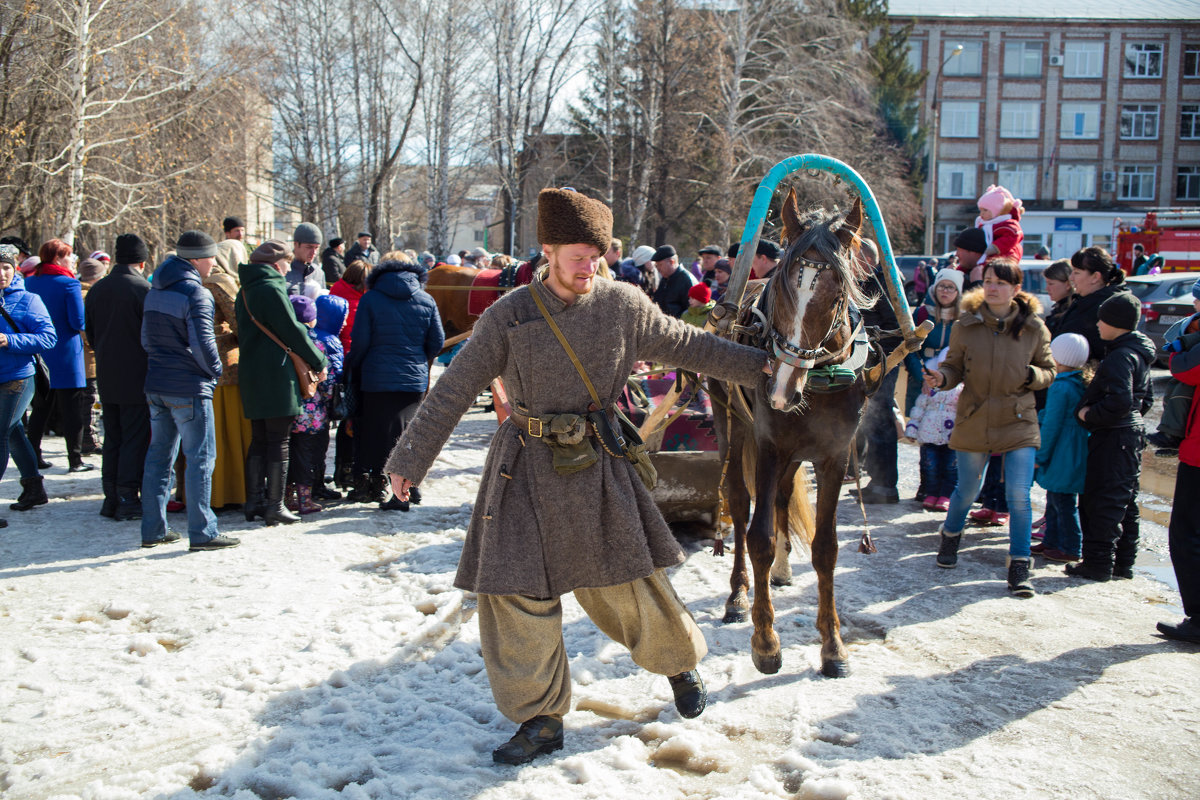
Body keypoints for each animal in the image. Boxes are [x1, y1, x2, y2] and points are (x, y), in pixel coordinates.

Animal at [705, 190, 878, 681]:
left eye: (836, 294)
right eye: (782, 286)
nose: (781, 389)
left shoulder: (832, 456)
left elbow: (827, 548)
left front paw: (833, 647)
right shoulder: (768, 447)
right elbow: (759, 538)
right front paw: (766, 643)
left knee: (782, 498)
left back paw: (782, 572)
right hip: (732, 427)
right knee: (740, 505)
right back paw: (738, 595)